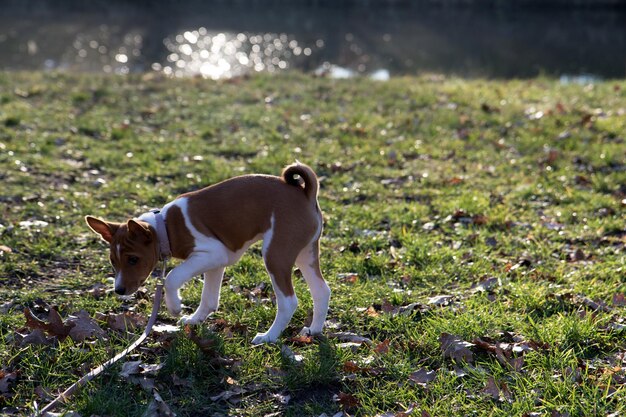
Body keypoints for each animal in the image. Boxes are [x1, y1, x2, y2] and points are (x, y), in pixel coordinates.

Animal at [88, 162, 332, 344]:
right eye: (113, 262)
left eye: (133, 259)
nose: (119, 290)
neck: (167, 227)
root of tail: (305, 194)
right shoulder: (216, 261)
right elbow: (209, 298)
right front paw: (195, 320)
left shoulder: (212, 253)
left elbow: (172, 277)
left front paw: (175, 306)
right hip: (305, 254)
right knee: (322, 291)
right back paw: (313, 331)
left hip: (275, 255)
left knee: (289, 301)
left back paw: (269, 337)